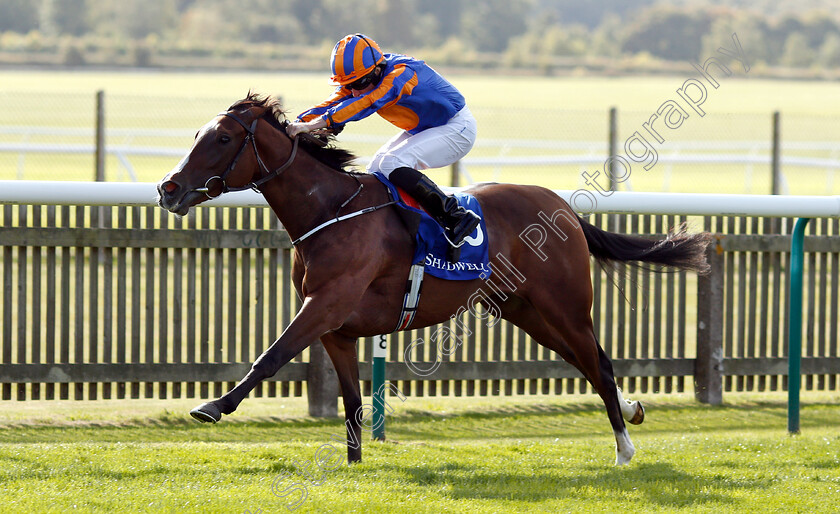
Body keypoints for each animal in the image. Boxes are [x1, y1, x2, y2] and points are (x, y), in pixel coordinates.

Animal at [158, 92, 708, 464]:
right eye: (196, 136)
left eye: (223, 138)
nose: (168, 188)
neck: (331, 210)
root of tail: (564, 208)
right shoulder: (336, 329)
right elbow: (352, 401)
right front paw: (355, 466)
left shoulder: (325, 305)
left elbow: (270, 357)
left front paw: (213, 406)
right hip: (528, 312)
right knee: (590, 363)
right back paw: (632, 411)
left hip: (566, 306)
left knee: (600, 365)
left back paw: (624, 447)